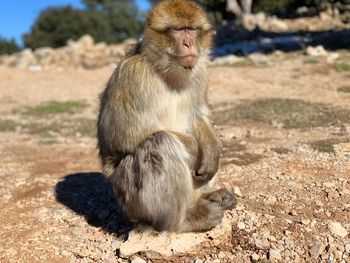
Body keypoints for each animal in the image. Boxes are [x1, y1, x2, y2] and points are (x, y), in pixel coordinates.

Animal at [97, 0, 237, 233]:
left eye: (192, 29)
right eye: (178, 30)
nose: (189, 44)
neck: (168, 72)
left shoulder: (200, 74)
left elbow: (197, 115)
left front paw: (212, 149)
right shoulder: (133, 75)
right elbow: (120, 136)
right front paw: (193, 146)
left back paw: (211, 196)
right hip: (131, 200)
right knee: (160, 142)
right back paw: (184, 220)